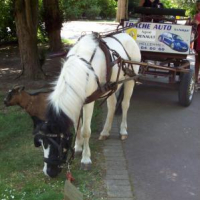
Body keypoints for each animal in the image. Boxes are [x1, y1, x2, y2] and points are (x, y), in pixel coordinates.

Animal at [34, 32, 141, 177]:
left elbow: (85, 131)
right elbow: (76, 126)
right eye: (42, 143)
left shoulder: (88, 103)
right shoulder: (77, 101)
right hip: (113, 85)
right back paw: (105, 132)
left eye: (58, 143)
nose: (48, 172)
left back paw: (123, 130)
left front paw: (85, 159)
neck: (82, 68)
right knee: (112, 106)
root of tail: (127, 35)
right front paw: (78, 147)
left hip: (130, 80)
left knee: (125, 105)